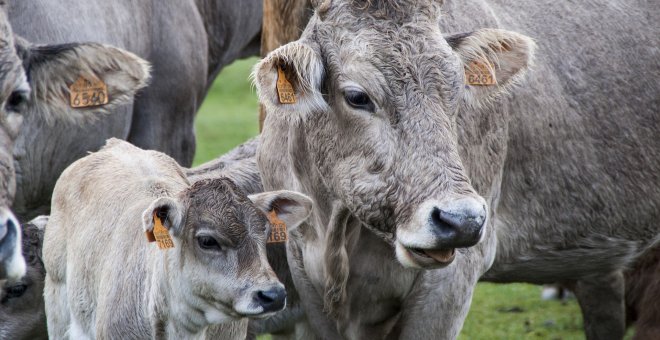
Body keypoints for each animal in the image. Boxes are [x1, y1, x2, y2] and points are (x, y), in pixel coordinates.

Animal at [254, 0, 660, 340]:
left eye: (457, 91)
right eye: (357, 97)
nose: (462, 220)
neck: (336, 230)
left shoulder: (451, 283)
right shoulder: (306, 278)